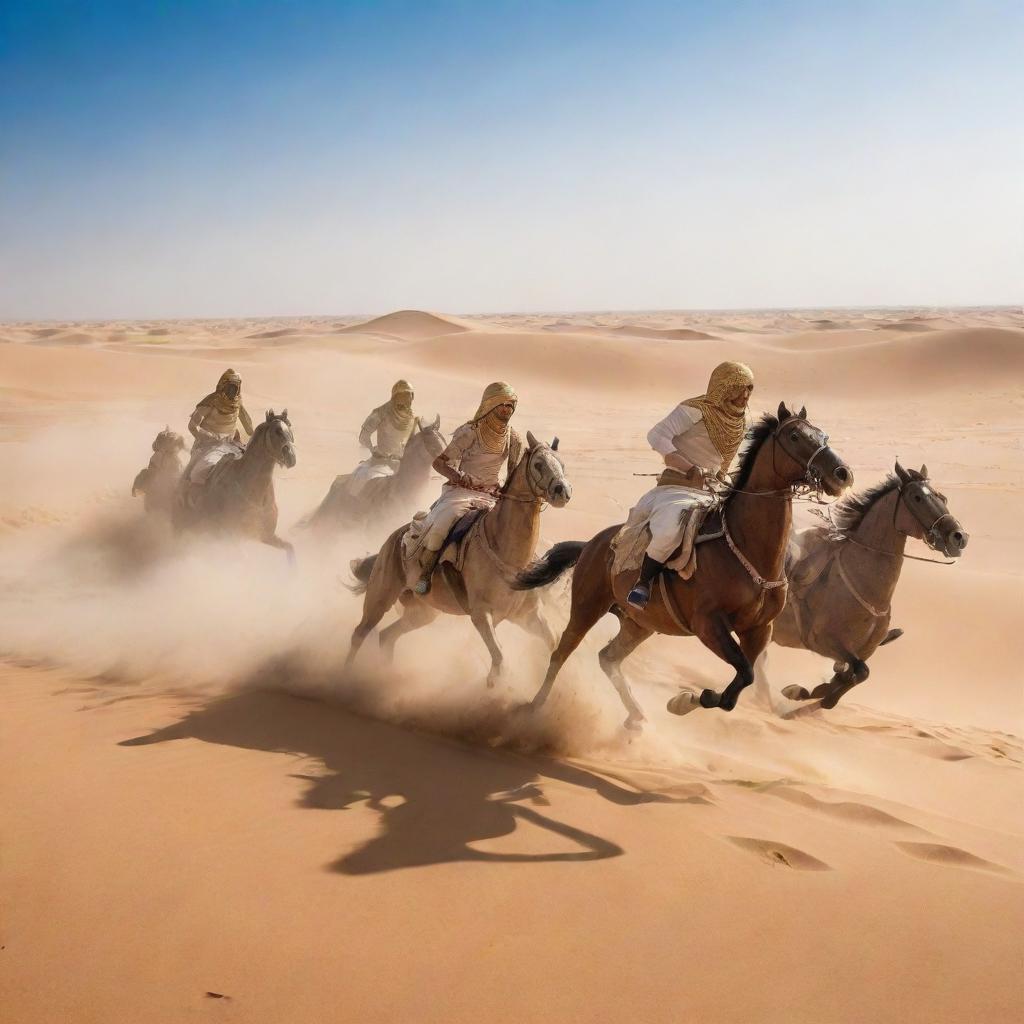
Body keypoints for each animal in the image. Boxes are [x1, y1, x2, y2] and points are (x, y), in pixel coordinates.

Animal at [172, 407, 296, 561]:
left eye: (290, 427)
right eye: (277, 431)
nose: (291, 458)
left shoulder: (267, 537)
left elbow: (290, 549)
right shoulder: (231, 536)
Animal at [344, 428, 569, 684]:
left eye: (562, 464)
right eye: (539, 464)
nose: (562, 491)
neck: (508, 555)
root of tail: (393, 538)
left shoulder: (528, 616)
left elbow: (552, 644)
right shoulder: (481, 615)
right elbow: (500, 659)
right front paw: (494, 684)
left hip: (423, 612)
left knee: (387, 635)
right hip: (381, 596)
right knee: (360, 632)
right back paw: (344, 676)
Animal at [516, 401, 851, 729]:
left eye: (822, 435)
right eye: (795, 436)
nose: (842, 474)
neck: (747, 551)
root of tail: (591, 545)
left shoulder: (758, 630)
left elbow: (738, 686)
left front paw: (685, 701)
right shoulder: (708, 625)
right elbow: (743, 674)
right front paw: (685, 701)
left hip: (639, 624)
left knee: (607, 658)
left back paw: (635, 716)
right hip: (587, 606)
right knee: (561, 652)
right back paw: (533, 708)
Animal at [770, 460, 966, 708]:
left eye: (943, 498)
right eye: (917, 498)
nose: (958, 537)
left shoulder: (861, 652)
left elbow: (852, 674)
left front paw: (814, 691)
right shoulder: (822, 641)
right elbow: (860, 672)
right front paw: (817, 695)